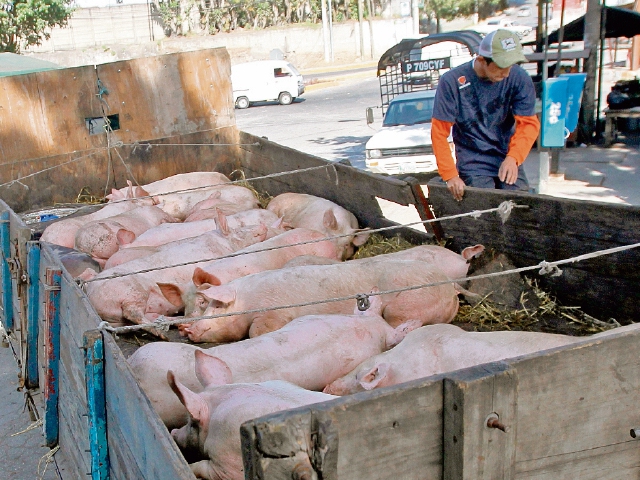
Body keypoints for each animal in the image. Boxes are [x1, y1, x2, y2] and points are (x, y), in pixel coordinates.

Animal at [84, 220, 268, 326]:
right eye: (240, 230)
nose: (263, 225)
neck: (222, 243)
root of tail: (91, 292)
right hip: (132, 290)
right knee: (133, 312)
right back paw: (161, 333)